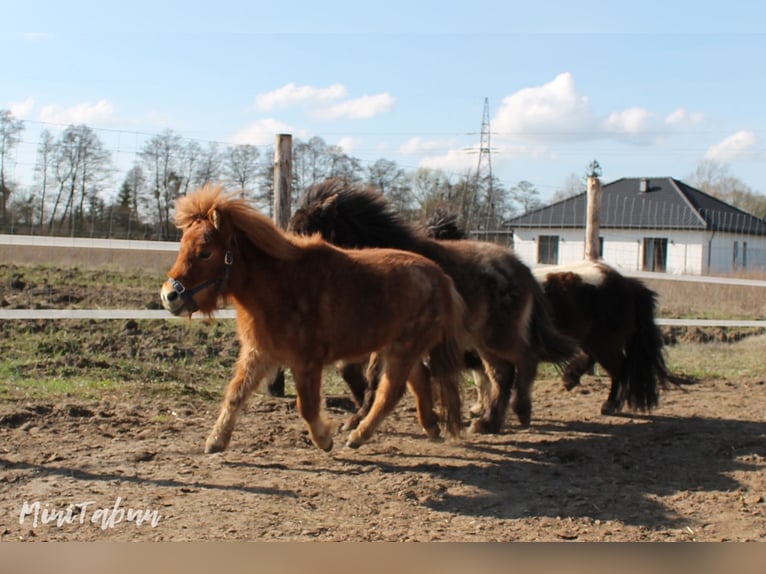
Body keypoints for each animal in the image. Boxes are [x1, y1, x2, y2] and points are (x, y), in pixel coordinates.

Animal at [162, 184, 468, 454]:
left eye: (205, 252)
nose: (168, 296)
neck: (280, 284)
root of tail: (443, 279)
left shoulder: (307, 362)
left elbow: (307, 406)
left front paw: (324, 439)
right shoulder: (258, 353)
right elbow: (235, 395)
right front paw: (216, 440)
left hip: (403, 350)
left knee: (389, 393)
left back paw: (359, 436)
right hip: (399, 348)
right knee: (419, 381)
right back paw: (430, 428)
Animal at [288, 178, 576, 434]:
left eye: (305, 230)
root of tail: (522, 269)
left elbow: (374, 377)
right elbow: (367, 375)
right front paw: (359, 417)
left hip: (497, 336)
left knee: (526, 358)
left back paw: (521, 411)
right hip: (483, 340)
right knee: (502, 373)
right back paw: (487, 423)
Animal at [426, 214, 672, 416]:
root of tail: (626, 283)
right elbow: (483, 378)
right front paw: (480, 409)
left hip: (605, 343)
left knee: (619, 369)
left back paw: (609, 404)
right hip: (591, 340)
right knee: (593, 358)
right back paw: (571, 378)